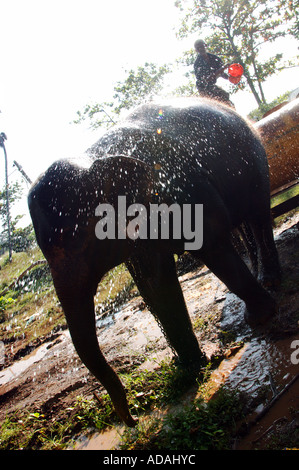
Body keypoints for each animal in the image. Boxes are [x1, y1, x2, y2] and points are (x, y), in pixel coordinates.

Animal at [27, 98, 282, 426]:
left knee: (258, 213)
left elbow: (212, 246)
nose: (132, 419)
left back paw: (270, 280)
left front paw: (259, 318)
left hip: (255, 158)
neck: (94, 155)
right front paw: (191, 369)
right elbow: (155, 285)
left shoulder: (182, 189)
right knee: (244, 223)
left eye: (81, 242)